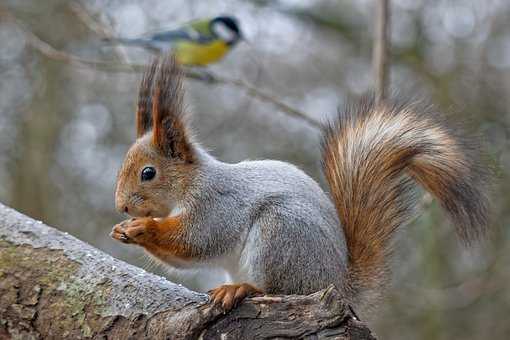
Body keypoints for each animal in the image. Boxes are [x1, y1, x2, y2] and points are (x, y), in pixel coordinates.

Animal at [110, 55, 490, 314]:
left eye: (148, 173)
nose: (122, 206)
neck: (190, 183)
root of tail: (337, 283)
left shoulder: (216, 205)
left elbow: (195, 241)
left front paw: (143, 228)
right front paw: (123, 229)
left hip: (280, 234)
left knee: (276, 288)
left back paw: (242, 289)